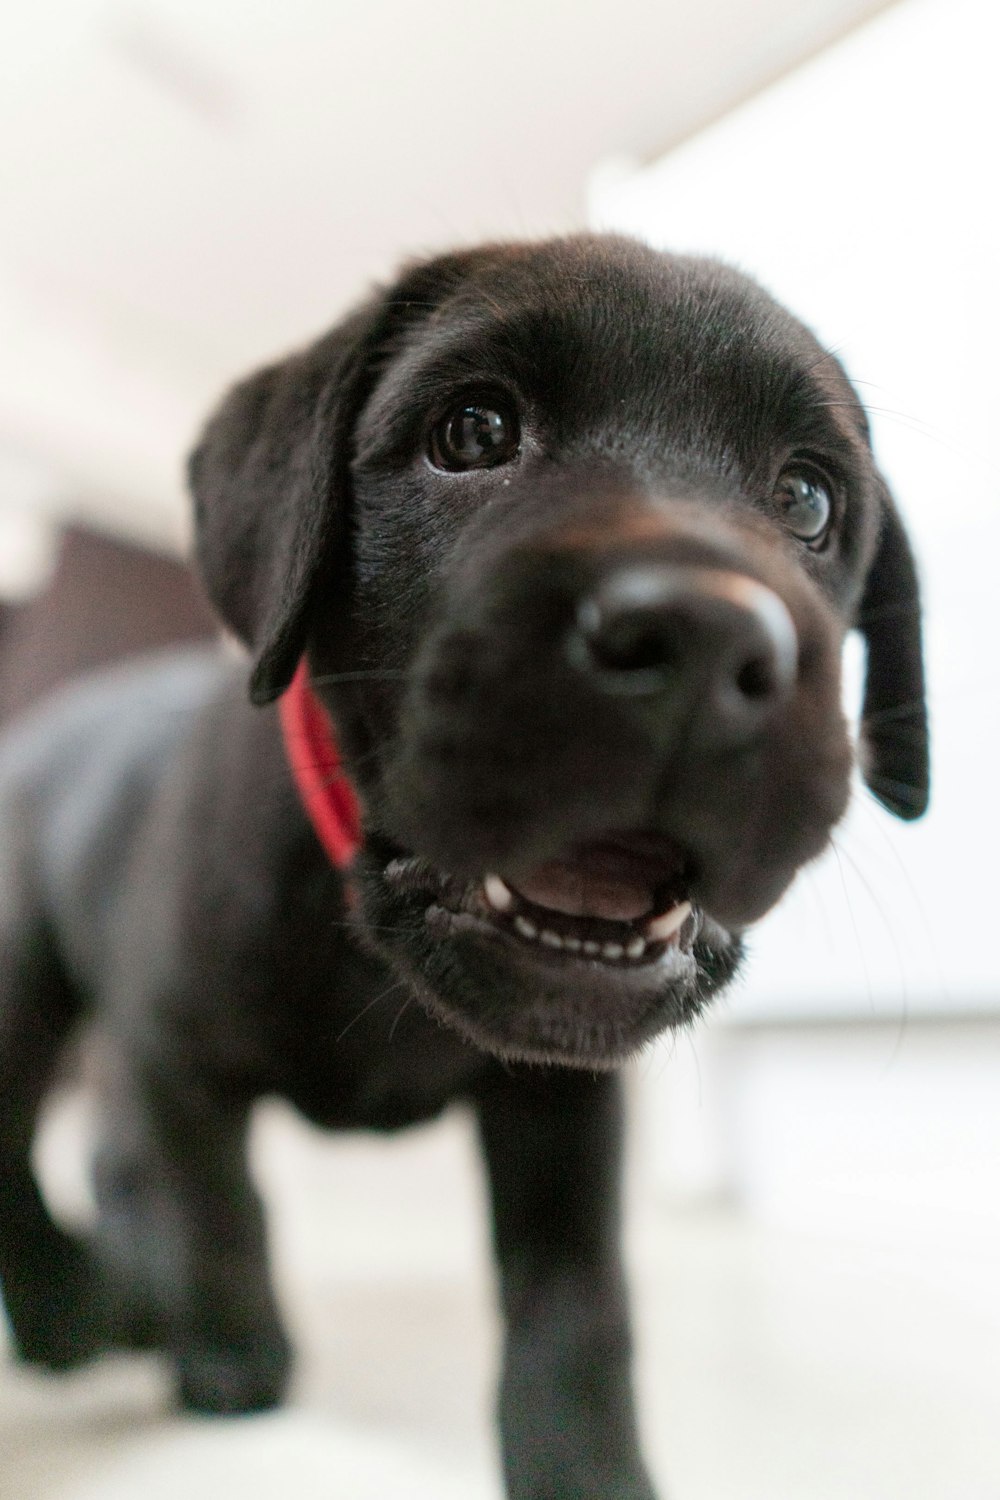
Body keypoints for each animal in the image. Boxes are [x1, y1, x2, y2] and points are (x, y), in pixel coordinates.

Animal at [0, 237, 929, 1500]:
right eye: (474, 432)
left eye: (806, 499)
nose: (703, 638)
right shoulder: (170, 1043)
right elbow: (221, 1203)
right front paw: (238, 1358)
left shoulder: (566, 1105)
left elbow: (573, 1294)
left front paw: (582, 1464)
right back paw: (73, 1309)